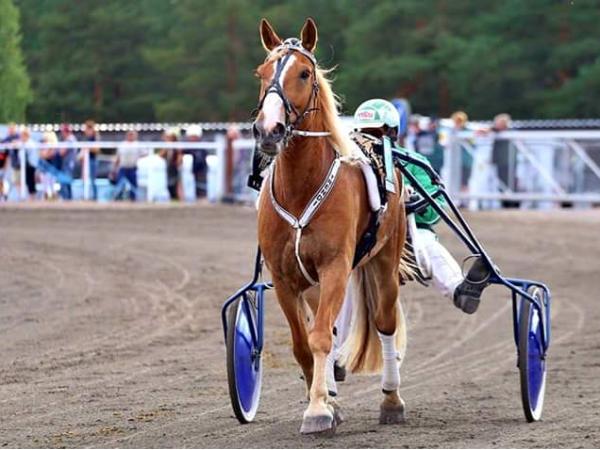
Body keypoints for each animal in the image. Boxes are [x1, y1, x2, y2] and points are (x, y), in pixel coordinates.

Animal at [253, 17, 410, 434]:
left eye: (304, 73)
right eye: (261, 73)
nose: (269, 130)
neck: (300, 188)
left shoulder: (336, 266)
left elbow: (321, 337)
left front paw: (318, 411)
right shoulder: (285, 277)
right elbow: (302, 344)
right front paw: (325, 402)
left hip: (384, 261)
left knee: (385, 323)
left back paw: (391, 400)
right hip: (312, 284)